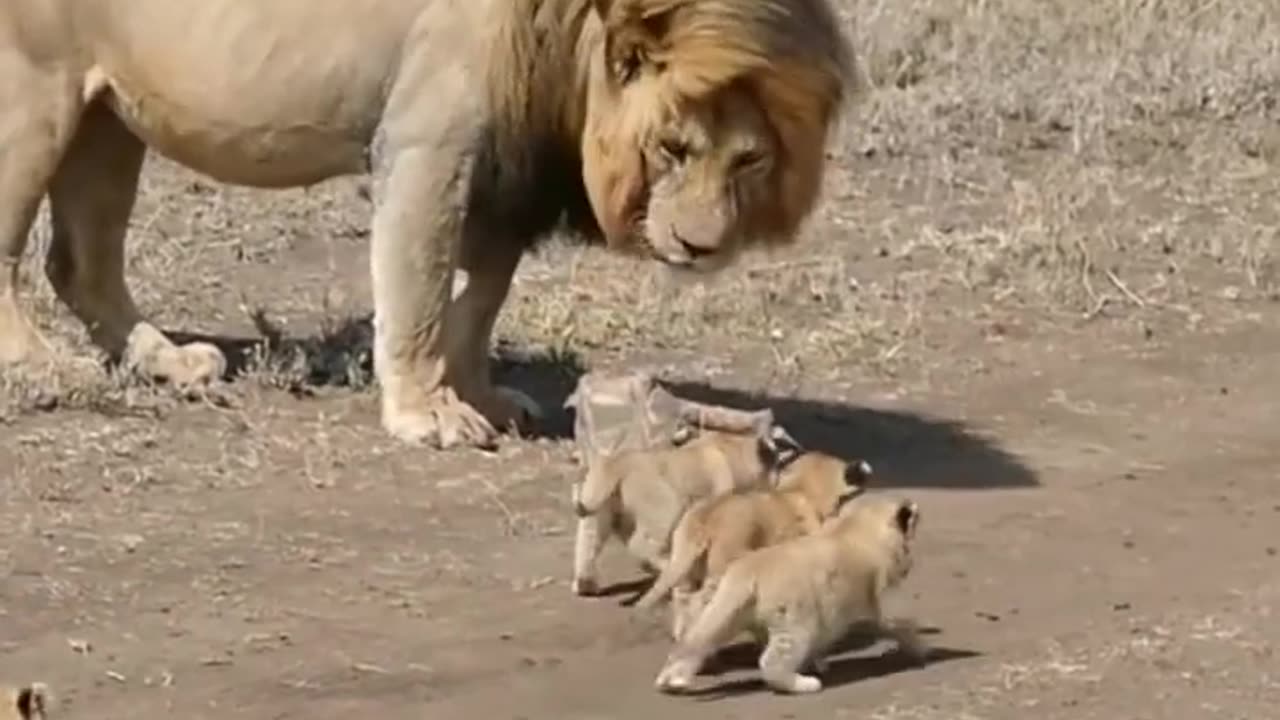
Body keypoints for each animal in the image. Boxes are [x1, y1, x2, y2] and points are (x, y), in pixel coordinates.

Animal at [2, 0, 860, 445]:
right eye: (673, 147)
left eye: (748, 159)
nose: (700, 246)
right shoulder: (427, 143)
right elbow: (416, 291)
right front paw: (427, 414)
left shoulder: (506, 169)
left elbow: (479, 301)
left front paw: (480, 396)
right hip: (33, 90)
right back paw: (41, 368)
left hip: (112, 114)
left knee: (81, 261)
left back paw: (170, 363)